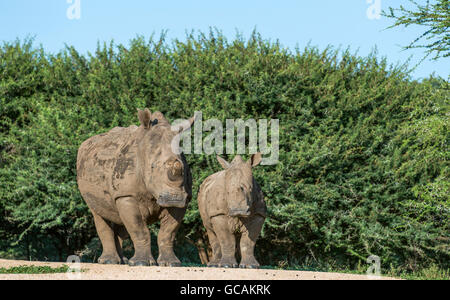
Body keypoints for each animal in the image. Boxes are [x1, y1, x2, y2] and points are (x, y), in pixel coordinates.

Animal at [76, 108, 195, 268]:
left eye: (183, 168)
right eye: (152, 167)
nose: (174, 199)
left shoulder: (184, 196)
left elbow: (167, 233)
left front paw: (171, 263)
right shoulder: (126, 194)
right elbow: (139, 229)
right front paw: (141, 263)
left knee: (120, 222)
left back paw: (123, 261)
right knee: (99, 214)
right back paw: (109, 261)